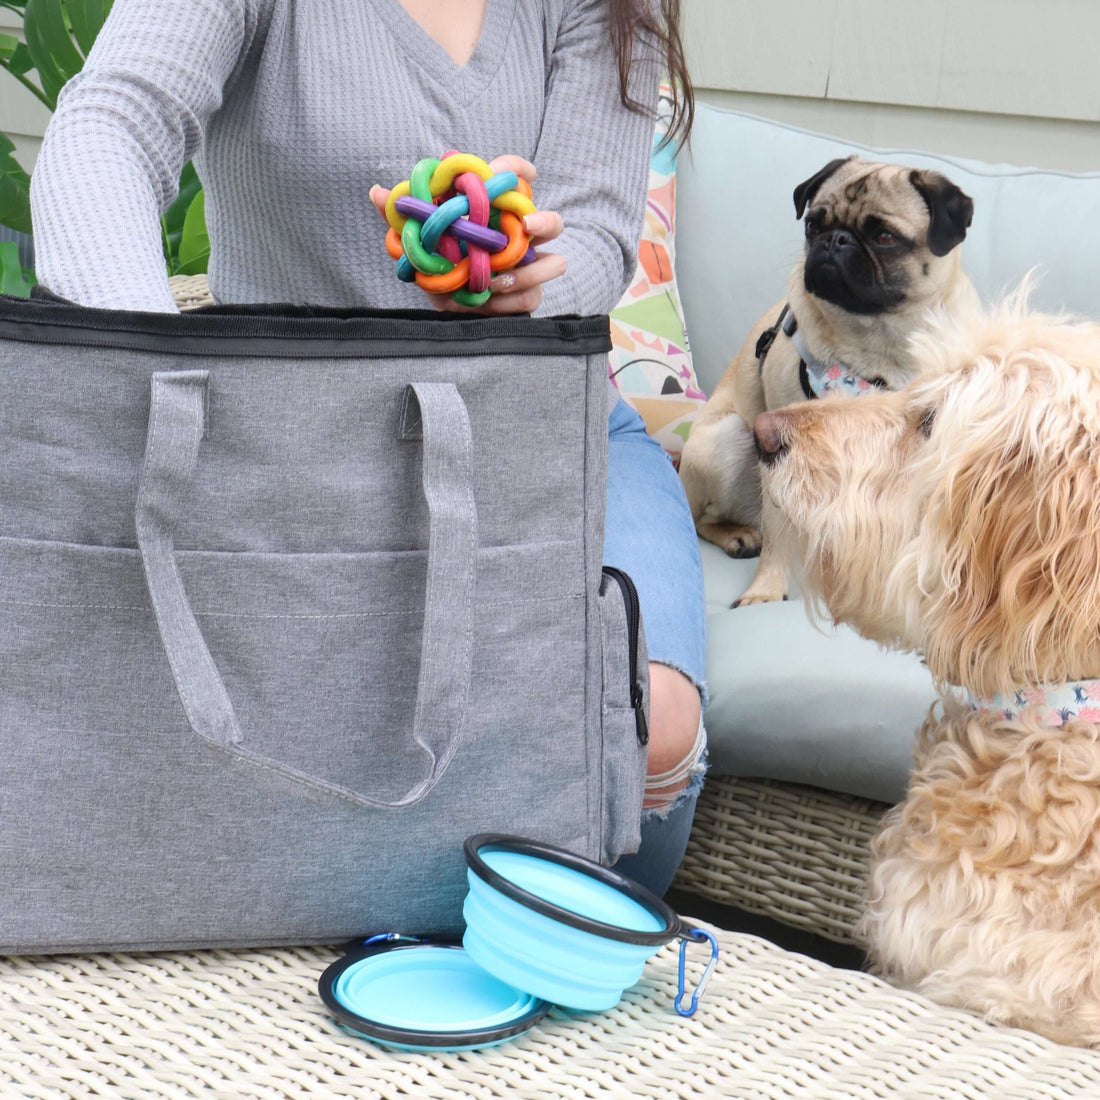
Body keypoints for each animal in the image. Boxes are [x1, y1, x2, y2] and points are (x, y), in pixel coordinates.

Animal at [682, 158, 976, 611]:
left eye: (885, 237)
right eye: (813, 225)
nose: (835, 240)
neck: (883, 343)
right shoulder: (777, 447)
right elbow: (776, 541)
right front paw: (765, 591)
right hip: (726, 440)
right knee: (703, 518)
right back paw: (737, 535)